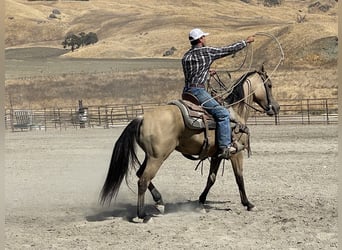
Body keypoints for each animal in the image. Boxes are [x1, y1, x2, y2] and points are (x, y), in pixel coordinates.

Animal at [99, 65, 280, 223]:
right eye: (269, 85)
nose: (276, 108)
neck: (235, 113)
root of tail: (142, 117)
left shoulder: (217, 155)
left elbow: (211, 179)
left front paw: (201, 202)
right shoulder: (236, 153)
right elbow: (239, 178)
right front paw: (248, 204)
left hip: (150, 156)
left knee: (140, 174)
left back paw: (159, 202)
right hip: (158, 157)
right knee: (143, 180)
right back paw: (143, 215)